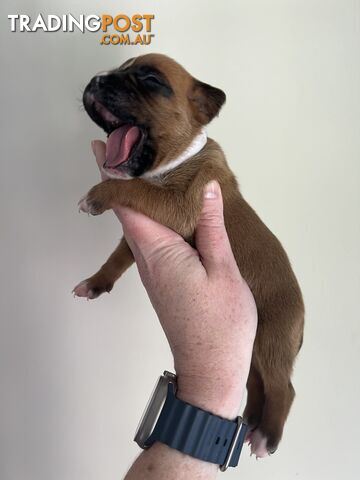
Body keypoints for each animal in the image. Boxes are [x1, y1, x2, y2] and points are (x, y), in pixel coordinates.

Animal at [73, 53, 304, 458]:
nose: (97, 79)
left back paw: (267, 436)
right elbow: (116, 258)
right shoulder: (135, 238)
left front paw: (97, 195)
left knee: (283, 388)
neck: (175, 160)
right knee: (256, 384)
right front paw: (96, 283)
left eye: (151, 80)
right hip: (253, 353)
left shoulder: (178, 206)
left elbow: (131, 189)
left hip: (272, 340)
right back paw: (250, 422)